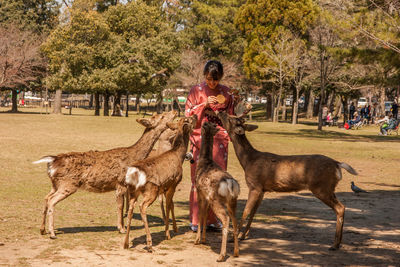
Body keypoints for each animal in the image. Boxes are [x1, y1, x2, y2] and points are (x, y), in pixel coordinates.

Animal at [33, 110, 177, 240]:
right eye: (162, 116)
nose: (175, 111)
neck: (134, 156)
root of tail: (52, 161)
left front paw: (122, 226)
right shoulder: (120, 183)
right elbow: (120, 206)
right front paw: (121, 229)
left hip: (55, 184)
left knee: (46, 198)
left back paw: (42, 230)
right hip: (68, 184)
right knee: (51, 200)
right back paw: (52, 233)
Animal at [122, 116, 196, 252]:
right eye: (188, 119)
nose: (195, 116)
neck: (179, 157)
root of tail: (134, 172)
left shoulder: (166, 187)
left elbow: (171, 204)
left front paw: (175, 228)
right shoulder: (174, 182)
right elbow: (168, 205)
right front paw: (168, 233)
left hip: (134, 191)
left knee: (130, 209)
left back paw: (126, 243)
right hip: (151, 190)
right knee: (142, 206)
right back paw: (149, 244)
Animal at [195, 122, 239, 262]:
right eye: (212, 125)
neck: (204, 162)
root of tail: (230, 183)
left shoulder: (200, 192)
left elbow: (201, 214)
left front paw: (197, 240)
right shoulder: (206, 197)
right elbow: (204, 215)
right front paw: (203, 239)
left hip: (216, 200)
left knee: (226, 219)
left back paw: (221, 255)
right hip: (232, 201)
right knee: (235, 220)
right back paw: (236, 252)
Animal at [217, 111, 358, 251]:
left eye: (230, 118)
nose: (221, 112)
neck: (247, 161)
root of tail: (337, 164)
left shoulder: (254, 185)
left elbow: (246, 211)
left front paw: (234, 237)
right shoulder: (263, 189)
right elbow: (253, 212)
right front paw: (243, 235)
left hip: (321, 187)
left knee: (340, 208)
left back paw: (334, 244)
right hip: (329, 188)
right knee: (342, 207)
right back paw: (337, 243)